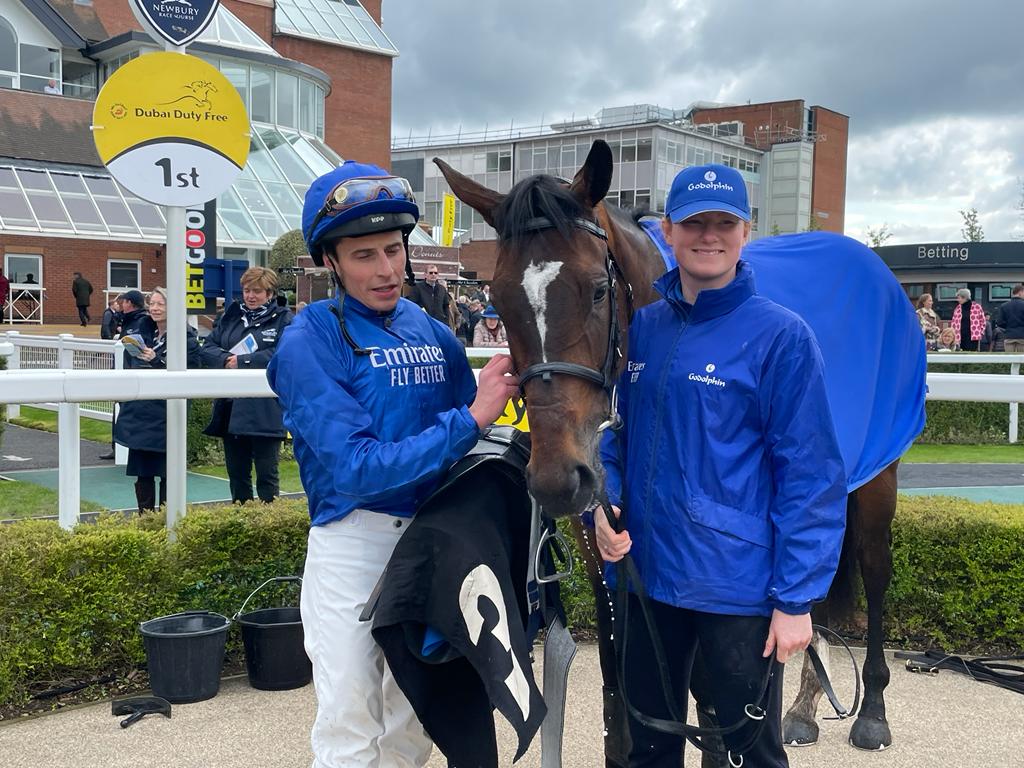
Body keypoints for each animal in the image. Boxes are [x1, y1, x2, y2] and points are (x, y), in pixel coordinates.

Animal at [436, 141, 901, 765]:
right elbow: (618, 653)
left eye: (598, 288)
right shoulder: (603, 535)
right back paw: (804, 707)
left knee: (871, 572)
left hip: (875, 479)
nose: (557, 480)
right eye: (500, 299)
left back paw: (871, 709)